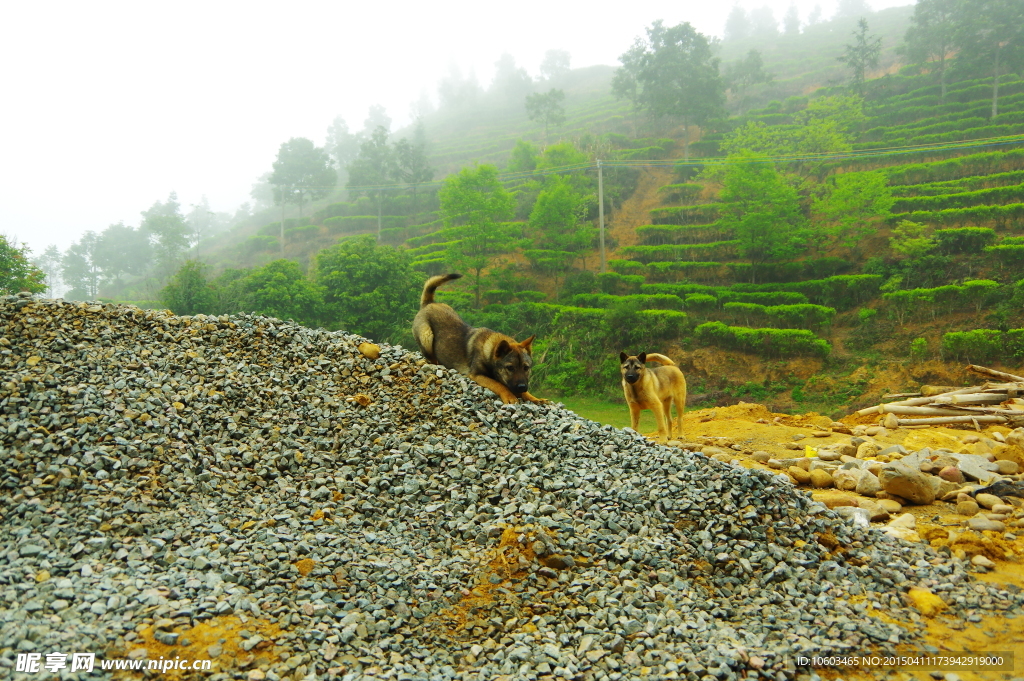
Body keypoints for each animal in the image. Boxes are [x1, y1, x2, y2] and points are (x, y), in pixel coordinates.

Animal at [411, 274, 548, 403]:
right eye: (510, 368)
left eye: (526, 368)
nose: (521, 387)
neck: (490, 349)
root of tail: (429, 303)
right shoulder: (477, 375)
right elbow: (499, 384)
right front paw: (510, 396)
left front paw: (534, 398)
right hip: (427, 336)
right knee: (430, 357)